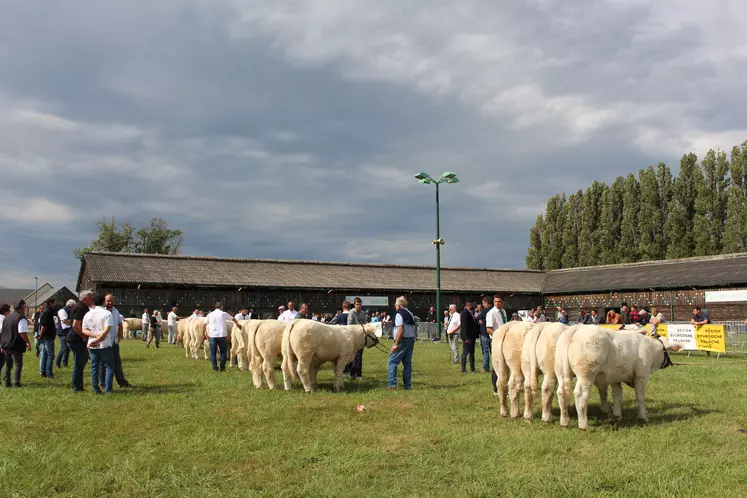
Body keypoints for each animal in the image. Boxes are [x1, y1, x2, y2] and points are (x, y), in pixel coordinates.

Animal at [556, 324, 684, 430]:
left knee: (561, 392)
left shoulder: (615, 378)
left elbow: (617, 395)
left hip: (561, 372)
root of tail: (576, 328)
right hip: (586, 374)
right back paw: (583, 425)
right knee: (580, 394)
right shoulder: (641, 376)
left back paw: (564, 421)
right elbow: (640, 397)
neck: (650, 348)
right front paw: (643, 416)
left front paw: (617, 415)